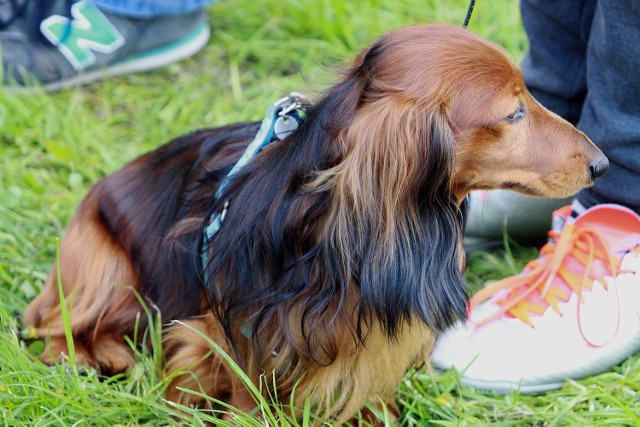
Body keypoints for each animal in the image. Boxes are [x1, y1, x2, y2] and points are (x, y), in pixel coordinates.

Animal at [22, 24, 608, 424]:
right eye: (514, 113)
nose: (602, 164)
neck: (336, 241)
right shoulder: (226, 334)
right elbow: (242, 392)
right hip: (103, 265)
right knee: (54, 329)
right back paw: (98, 355)